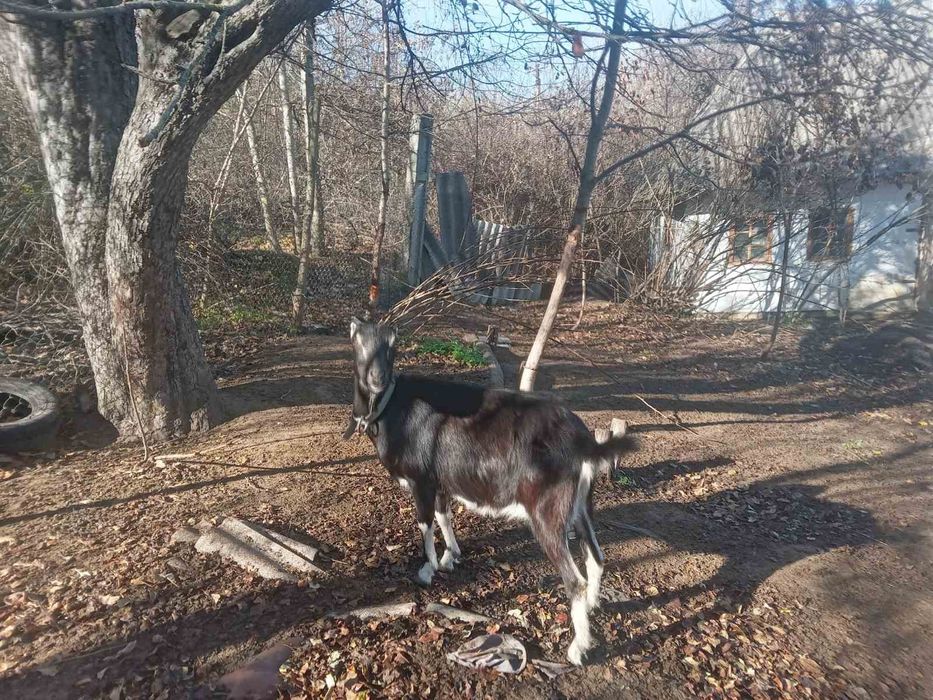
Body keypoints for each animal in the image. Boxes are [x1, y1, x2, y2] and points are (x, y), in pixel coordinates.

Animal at [344, 317, 636, 665]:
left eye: (392, 344)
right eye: (360, 342)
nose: (377, 379)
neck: (392, 408)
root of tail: (583, 440)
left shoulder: (421, 480)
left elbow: (425, 523)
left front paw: (427, 570)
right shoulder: (441, 482)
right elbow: (444, 517)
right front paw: (451, 556)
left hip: (547, 512)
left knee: (574, 580)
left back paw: (577, 648)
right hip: (581, 505)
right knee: (596, 556)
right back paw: (593, 607)